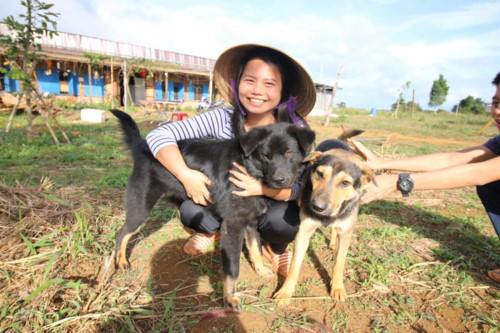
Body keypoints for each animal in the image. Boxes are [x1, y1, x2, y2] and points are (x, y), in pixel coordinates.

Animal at [111, 109, 314, 308]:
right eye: (265, 156)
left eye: (288, 152)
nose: (279, 180)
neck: (248, 169)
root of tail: (142, 144)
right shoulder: (233, 226)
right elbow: (233, 269)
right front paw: (230, 298)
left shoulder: (250, 222)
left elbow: (255, 249)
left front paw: (261, 270)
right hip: (141, 206)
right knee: (123, 232)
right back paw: (120, 262)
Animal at [274, 147, 376, 304]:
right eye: (320, 173)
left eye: (345, 183)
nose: (316, 207)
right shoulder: (304, 231)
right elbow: (295, 265)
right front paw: (286, 291)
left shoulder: (346, 233)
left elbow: (339, 262)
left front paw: (337, 288)